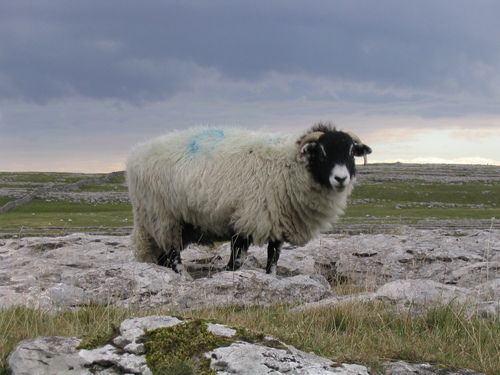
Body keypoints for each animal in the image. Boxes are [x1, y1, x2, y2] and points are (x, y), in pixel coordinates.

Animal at [127, 122, 374, 278]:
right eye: (321, 152)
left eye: (351, 152)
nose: (340, 178)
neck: (290, 166)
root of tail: (136, 154)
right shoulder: (245, 218)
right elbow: (236, 261)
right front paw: (229, 278)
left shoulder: (278, 221)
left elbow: (273, 259)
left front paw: (270, 279)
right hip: (162, 215)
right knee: (173, 254)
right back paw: (184, 278)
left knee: (163, 256)